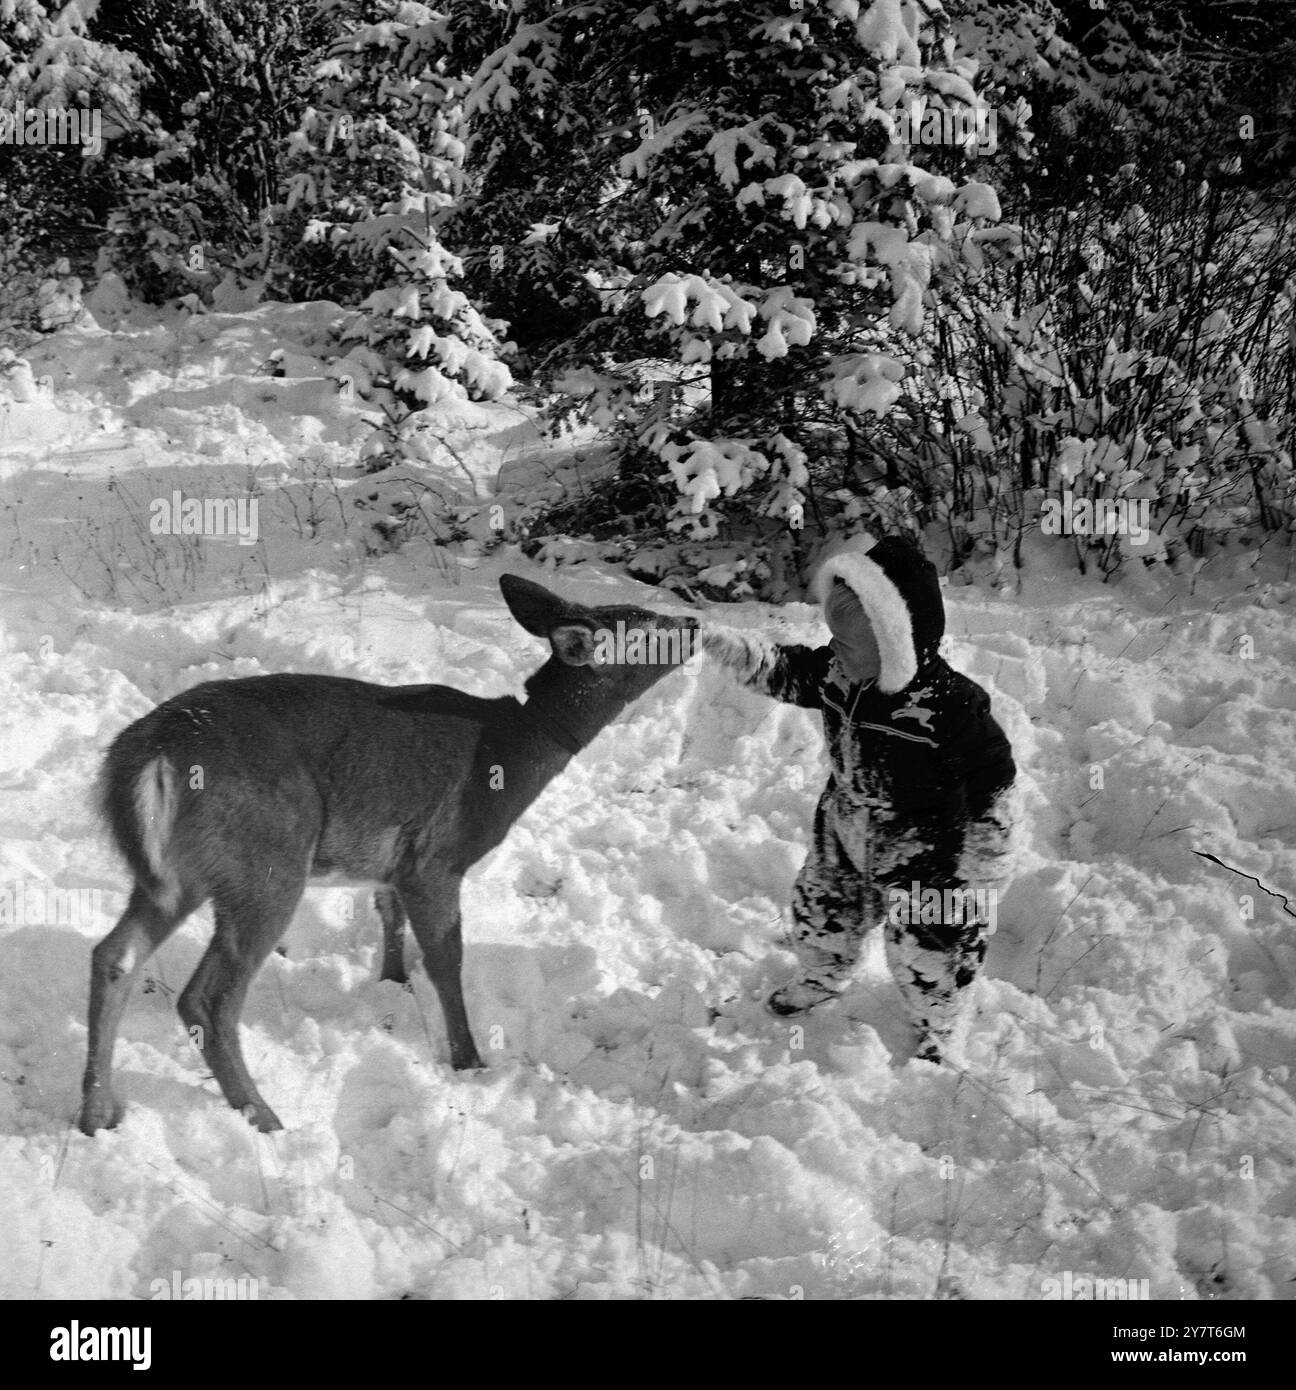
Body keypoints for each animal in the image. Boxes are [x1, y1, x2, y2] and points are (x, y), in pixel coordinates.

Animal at [79, 574, 698, 1135]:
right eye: (646, 627)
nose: (693, 622)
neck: (513, 750)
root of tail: (150, 756)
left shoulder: (392, 865)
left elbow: (388, 913)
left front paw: (392, 981)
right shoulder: (437, 859)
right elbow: (447, 957)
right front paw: (468, 1059)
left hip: (179, 875)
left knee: (114, 956)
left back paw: (96, 1114)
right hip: (267, 862)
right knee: (207, 999)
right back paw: (264, 1116)